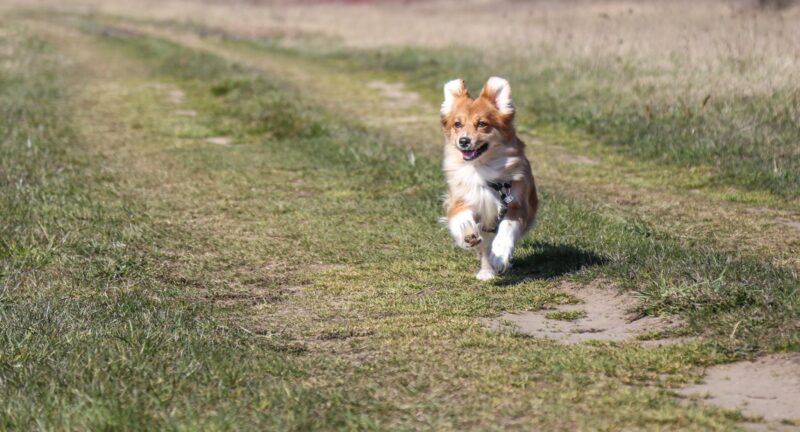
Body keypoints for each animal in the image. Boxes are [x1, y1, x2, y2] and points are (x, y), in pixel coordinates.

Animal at [440, 77, 540, 280]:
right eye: (457, 124)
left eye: (481, 124)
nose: (464, 141)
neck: (481, 167)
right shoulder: (461, 198)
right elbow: (460, 216)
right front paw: (467, 232)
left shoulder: (517, 203)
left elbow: (507, 227)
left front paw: (500, 254)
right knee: (483, 247)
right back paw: (486, 271)